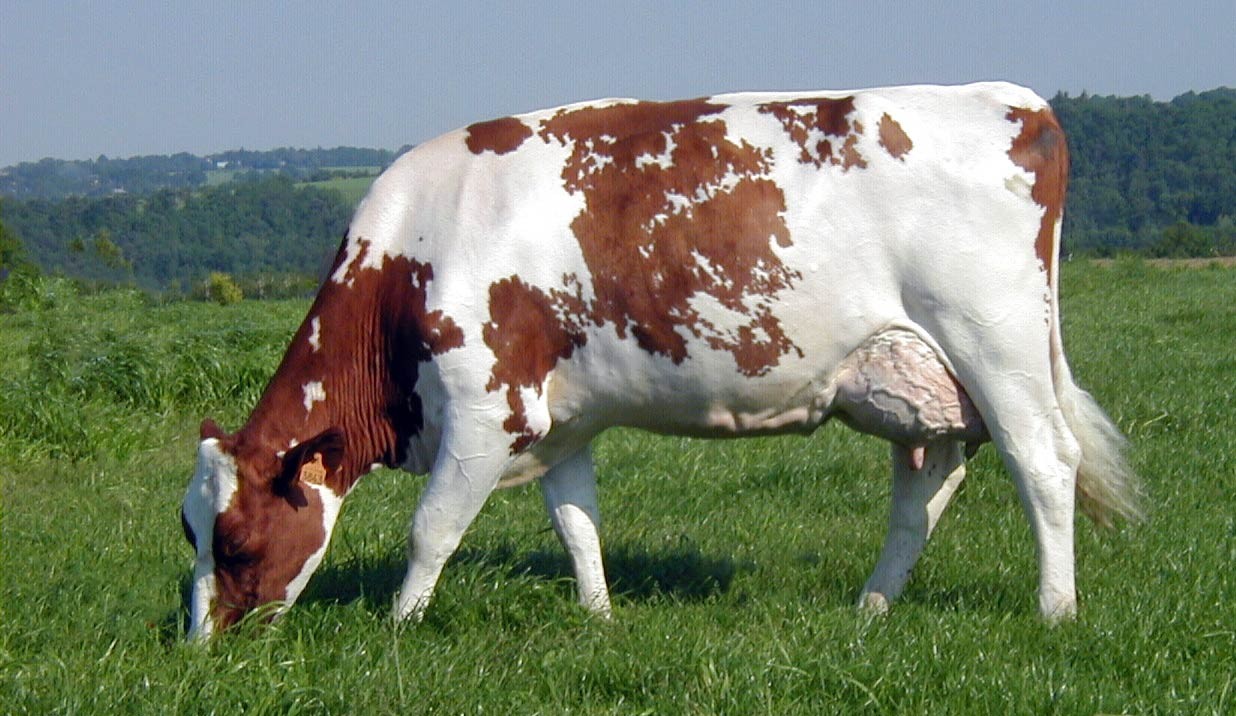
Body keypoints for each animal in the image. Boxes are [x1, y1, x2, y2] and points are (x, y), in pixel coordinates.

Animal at [181, 82, 1141, 639]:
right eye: (189, 532)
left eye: (235, 541)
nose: (201, 643)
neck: (414, 252)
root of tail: (1017, 100)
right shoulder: (561, 424)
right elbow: (577, 524)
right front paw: (600, 618)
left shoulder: (488, 409)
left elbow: (432, 529)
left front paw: (397, 632)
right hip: (916, 378)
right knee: (926, 489)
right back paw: (871, 608)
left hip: (997, 346)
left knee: (1043, 462)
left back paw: (1055, 611)